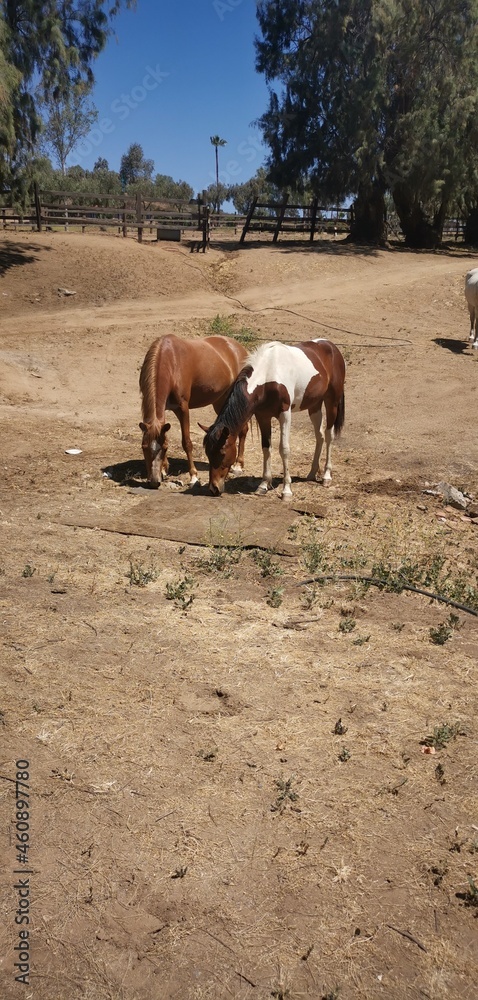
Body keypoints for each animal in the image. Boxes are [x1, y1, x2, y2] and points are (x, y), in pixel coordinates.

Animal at [139, 334, 249, 485]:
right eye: (143, 447)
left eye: (165, 449)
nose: (154, 481)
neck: (170, 362)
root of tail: (239, 348)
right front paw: (164, 469)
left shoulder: (183, 408)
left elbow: (187, 442)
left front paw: (193, 476)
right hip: (220, 400)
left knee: (243, 430)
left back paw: (238, 465)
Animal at [201, 339, 345, 498]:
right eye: (208, 453)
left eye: (222, 453)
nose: (214, 488)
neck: (269, 374)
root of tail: (331, 346)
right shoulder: (263, 416)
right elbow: (266, 448)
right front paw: (264, 485)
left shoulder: (285, 414)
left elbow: (284, 449)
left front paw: (286, 490)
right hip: (314, 405)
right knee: (319, 436)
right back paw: (312, 473)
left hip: (331, 402)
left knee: (329, 436)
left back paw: (326, 476)